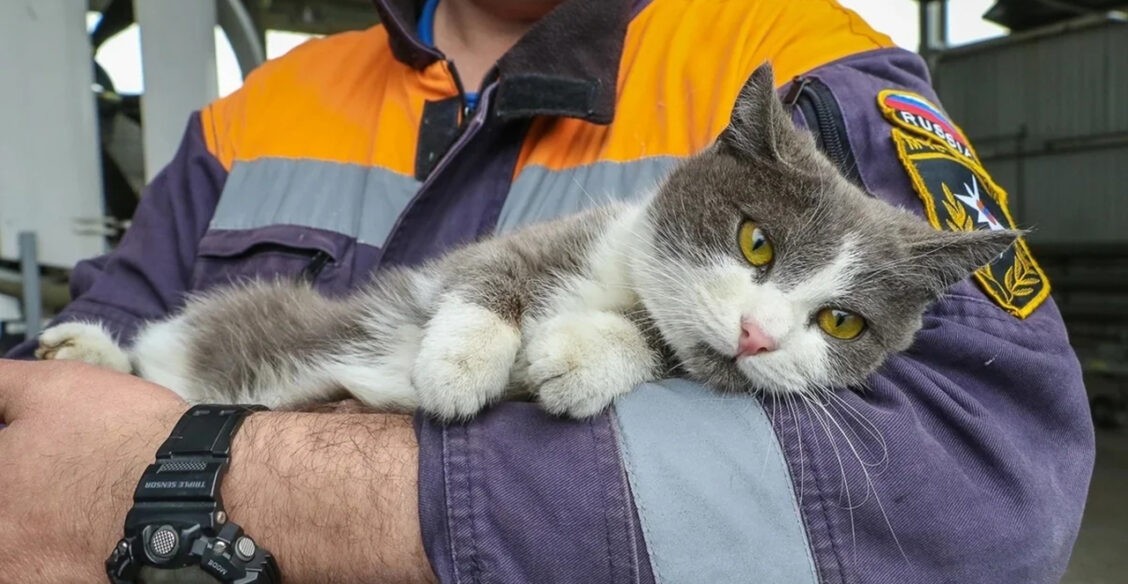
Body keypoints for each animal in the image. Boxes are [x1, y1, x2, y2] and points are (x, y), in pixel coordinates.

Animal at [37, 64, 1024, 421]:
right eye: (755, 243)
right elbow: (488, 271)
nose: (757, 336)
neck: (620, 281)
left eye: (843, 324)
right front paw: (462, 363)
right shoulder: (534, 245)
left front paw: (582, 357)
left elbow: (652, 352)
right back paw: (84, 350)